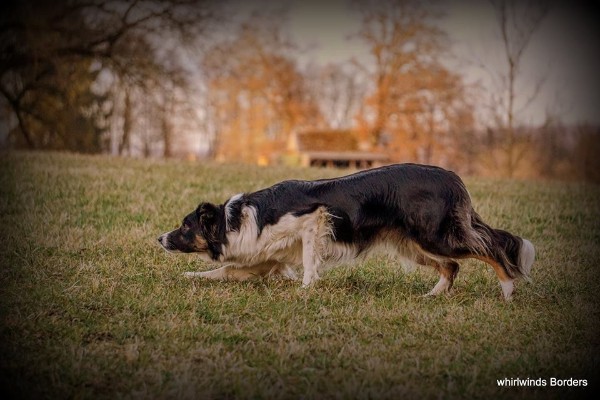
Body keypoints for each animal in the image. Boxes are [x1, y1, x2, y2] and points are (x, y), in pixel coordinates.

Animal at [159, 163, 536, 300]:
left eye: (185, 225)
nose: (158, 238)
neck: (236, 219)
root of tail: (453, 178)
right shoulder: (262, 260)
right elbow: (222, 271)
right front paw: (191, 276)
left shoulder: (313, 220)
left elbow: (309, 259)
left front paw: (306, 290)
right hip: (413, 245)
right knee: (452, 266)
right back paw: (433, 295)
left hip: (437, 236)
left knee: (491, 248)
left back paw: (507, 290)